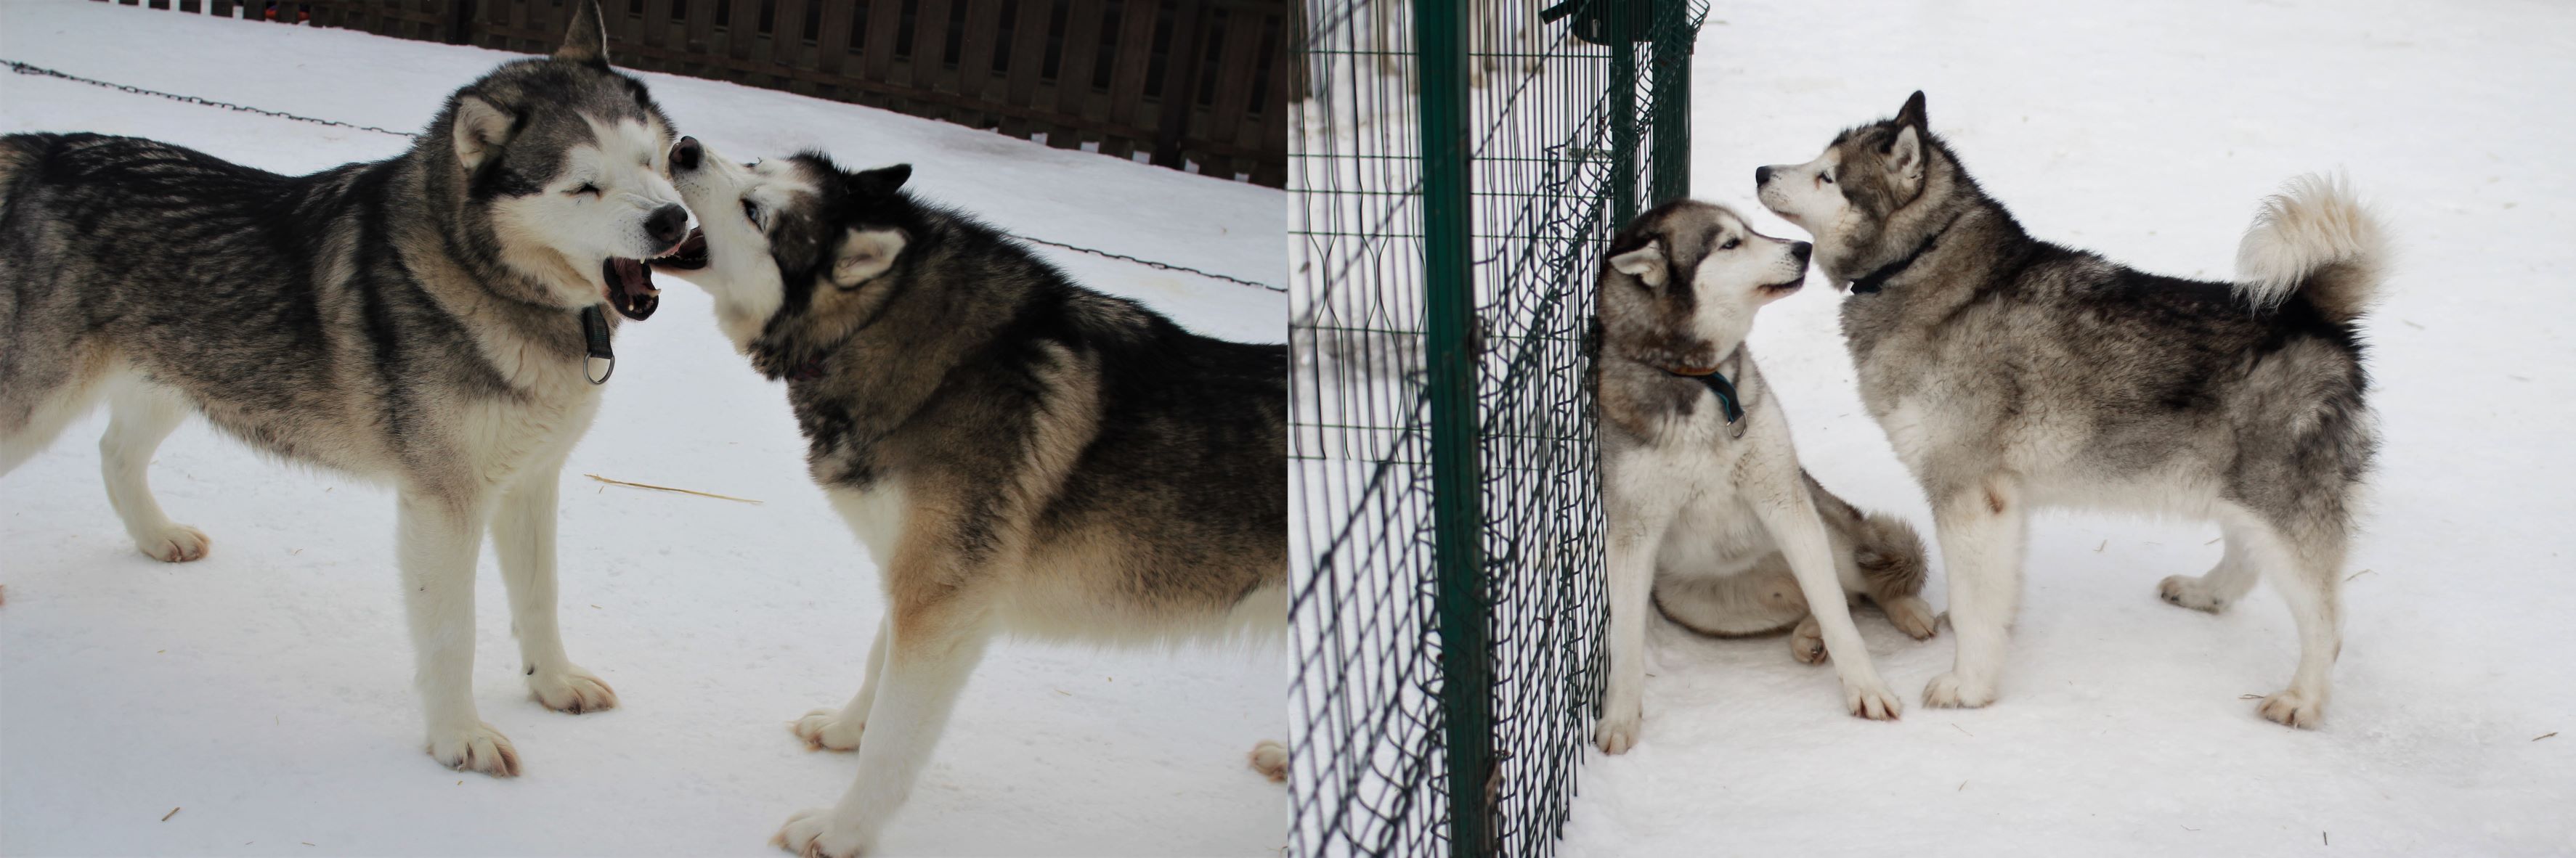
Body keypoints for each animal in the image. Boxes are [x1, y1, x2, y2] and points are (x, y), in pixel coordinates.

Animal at [0, 1, 700, 772]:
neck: (485, 275)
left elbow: (540, 598)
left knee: (115, 453)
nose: (672, 221)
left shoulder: (530, 481)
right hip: (38, 402)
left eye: (649, 160)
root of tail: (41, 150)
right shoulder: (444, 502)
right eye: (583, 186)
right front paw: (459, 739)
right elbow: (454, 633)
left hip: (181, 377)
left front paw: (553, 684)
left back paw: (158, 538)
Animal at [649, 137, 1283, 850]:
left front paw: (842, 831)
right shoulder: (917, 582)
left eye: (754, 212)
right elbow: (876, 667)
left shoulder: (940, 601)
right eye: (758, 164)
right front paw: (844, 729)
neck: (885, 327)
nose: (685, 147)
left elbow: (892, 741)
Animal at [1586, 198, 1937, 747]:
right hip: (1697, 603)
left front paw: (1866, 688)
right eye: (1730, 243)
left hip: (1823, 530)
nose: (1803, 247)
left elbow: (1840, 618)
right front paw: (1620, 717)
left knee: (1856, 590)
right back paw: (1808, 635)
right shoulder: (1631, 531)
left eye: (1750, 229)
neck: (1701, 380)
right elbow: (1624, 638)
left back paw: (1903, 610)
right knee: (1833, 601)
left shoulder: (1784, 499)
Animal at [1762, 91, 2380, 721]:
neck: (1922, 261)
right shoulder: (2002, 499)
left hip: (2280, 503)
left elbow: (1975, 605)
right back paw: (2204, 593)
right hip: (2235, 487)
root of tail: (2311, 313)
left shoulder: (1970, 494)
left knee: (2326, 623)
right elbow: (1990, 594)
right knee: (2245, 557)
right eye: (1817, 162)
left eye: (1826, 175)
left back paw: (2300, 700)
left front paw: (1968, 686)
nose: (1761, 171)